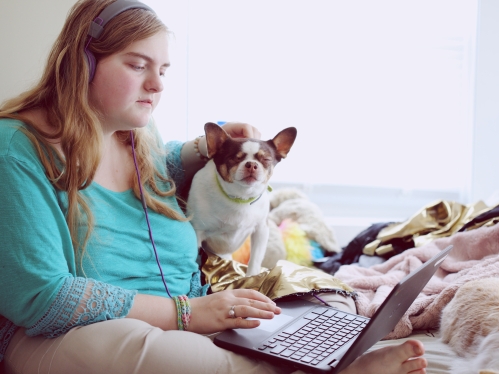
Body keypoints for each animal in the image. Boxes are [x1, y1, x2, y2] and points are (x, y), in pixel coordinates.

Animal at [188, 122, 296, 274]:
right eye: (234, 158)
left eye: (266, 160)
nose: (252, 164)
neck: (240, 198)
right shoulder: (198, 232)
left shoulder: (261, 230)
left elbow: (255, 259)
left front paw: (252, 276)